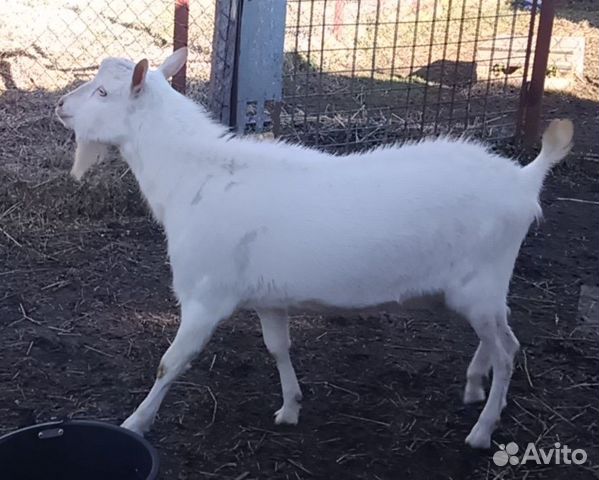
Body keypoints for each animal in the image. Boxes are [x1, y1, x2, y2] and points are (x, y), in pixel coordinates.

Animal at [55, 47, 572, 448]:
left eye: (103, 93)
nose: (60, 105)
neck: (191, 175)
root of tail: (524, 178)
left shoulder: (205, 295)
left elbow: (169, 363)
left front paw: (135, 422)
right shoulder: (267, 296)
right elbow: (277, 347)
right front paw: (290, 406)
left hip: (480, 281)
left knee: (508, 350)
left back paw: (482, 430)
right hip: (481, 288)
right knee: (499, 334)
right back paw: (473, 386)